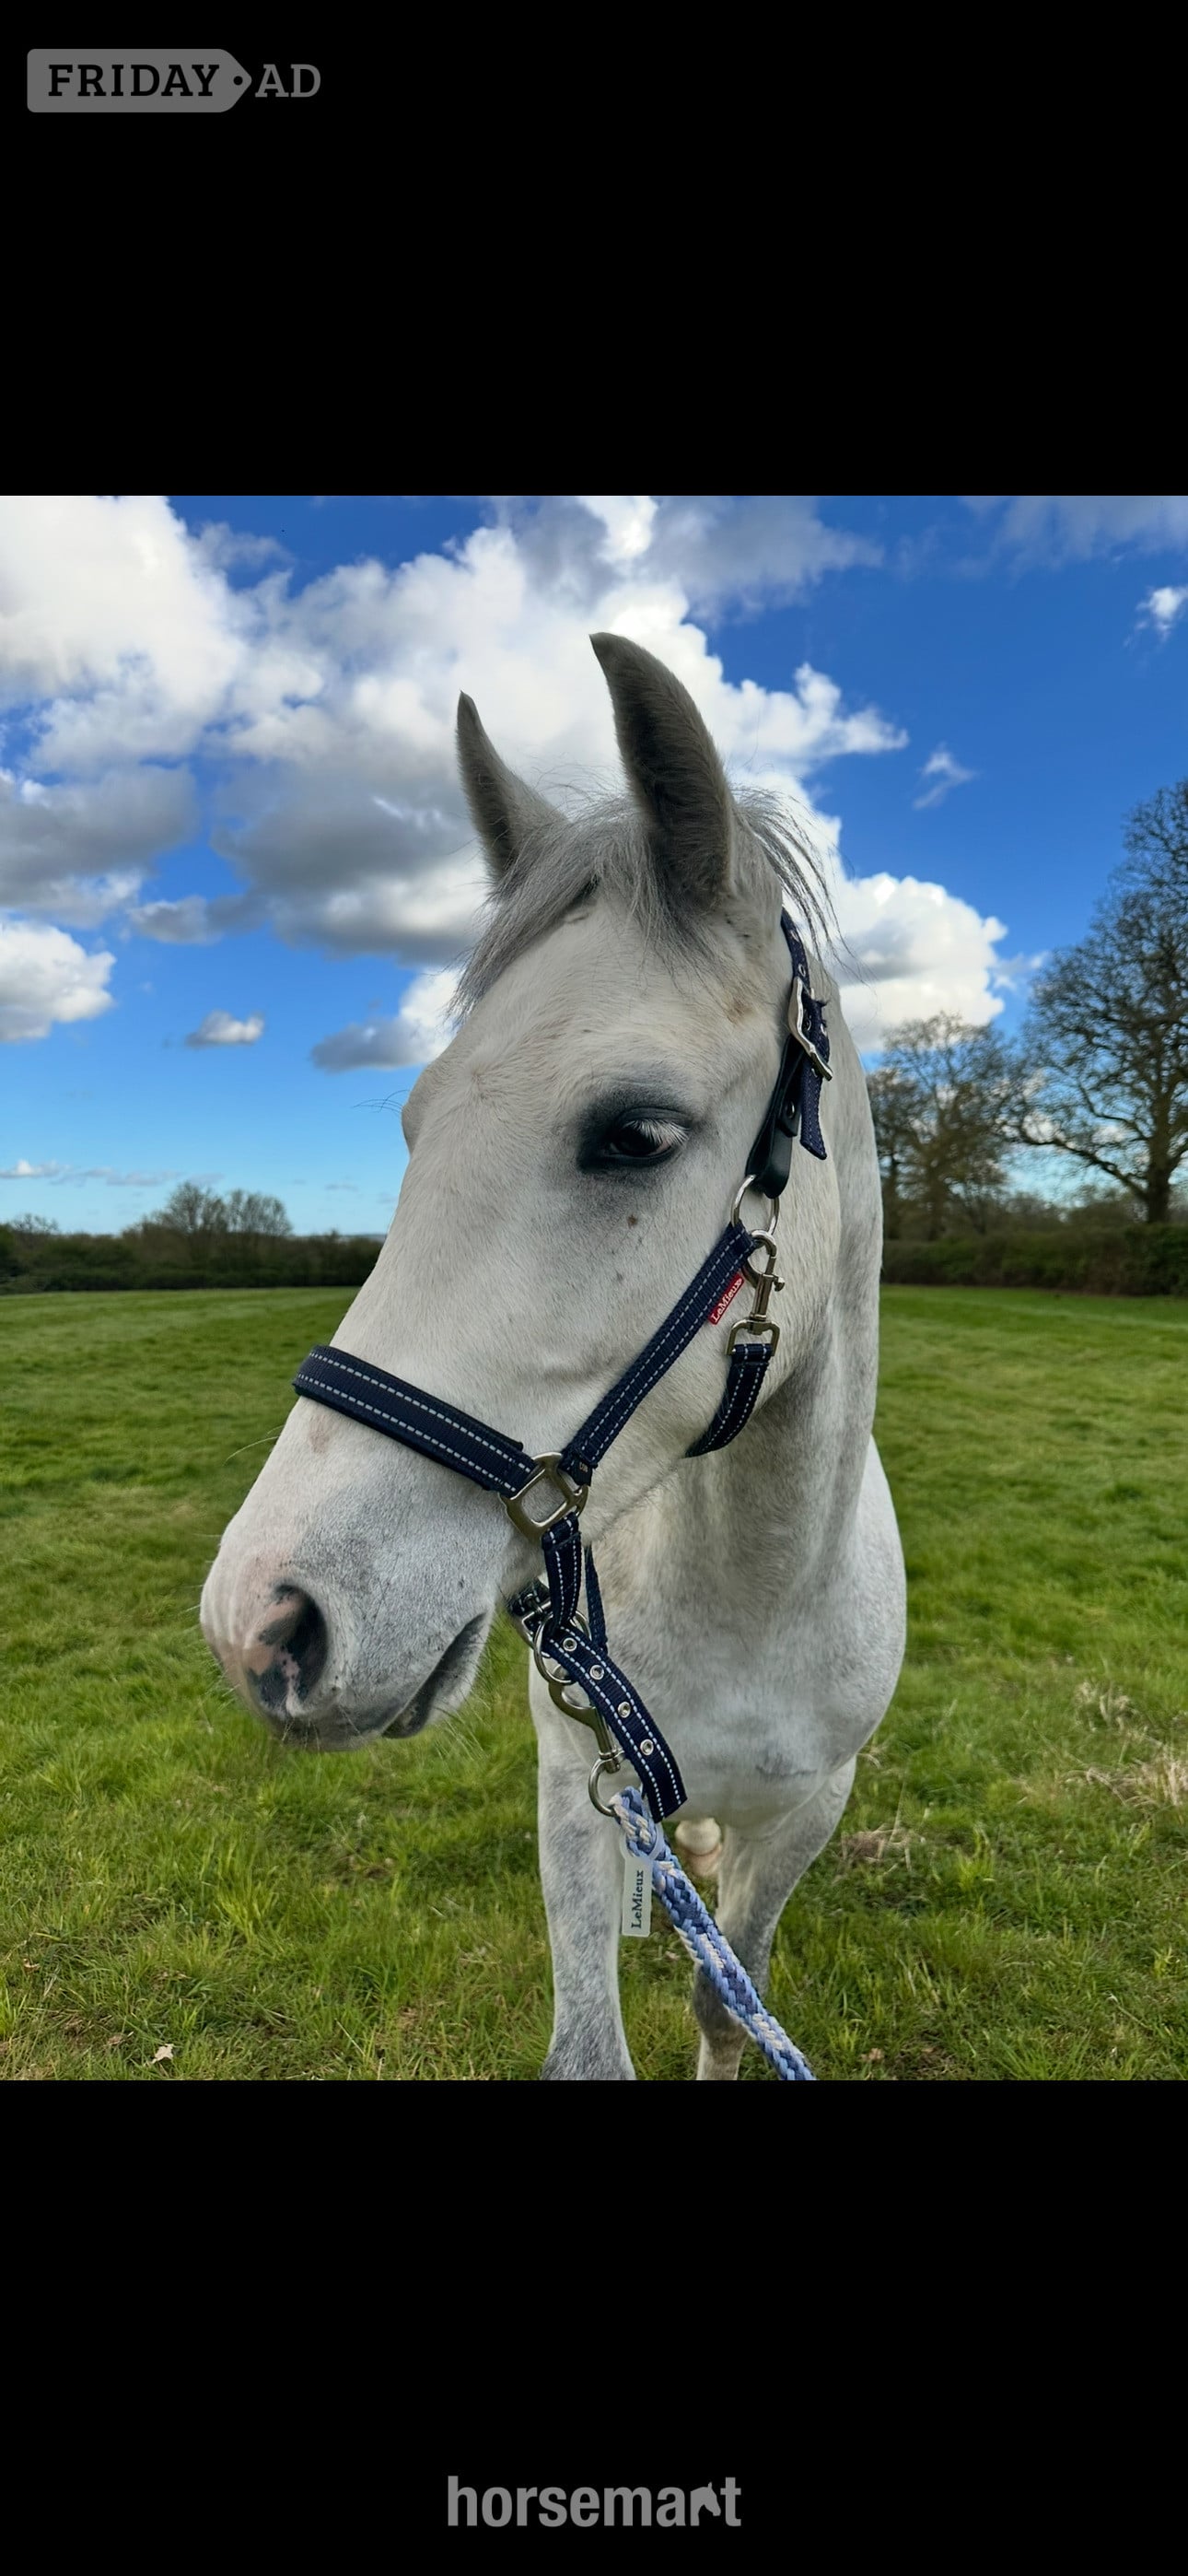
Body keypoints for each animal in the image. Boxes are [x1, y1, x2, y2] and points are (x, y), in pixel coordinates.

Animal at [200, 633, 906, 2079]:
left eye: (633, 1133)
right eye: (414, 1127)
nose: (264, 1624)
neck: (755, 1590)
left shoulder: (810, 1812)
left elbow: (728, 1998)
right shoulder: (581, 1794)